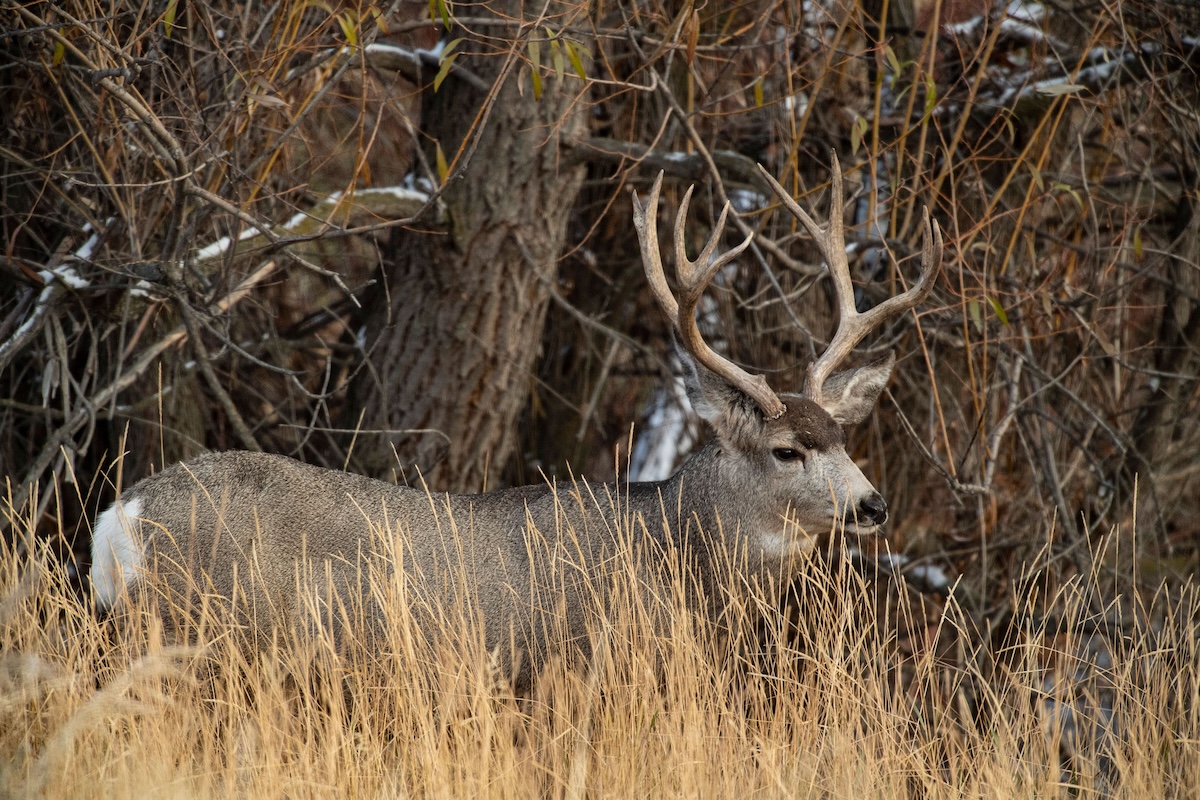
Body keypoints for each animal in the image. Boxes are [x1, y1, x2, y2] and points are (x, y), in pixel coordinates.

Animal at [90, 157, 942, 690]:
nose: (873, 505)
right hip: (205, 635)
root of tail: (122, 515)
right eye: (788, 449)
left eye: (844, 438)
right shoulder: (570, 671)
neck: (673, 549)